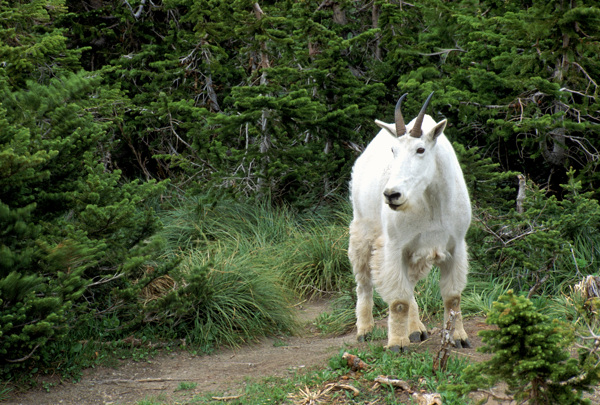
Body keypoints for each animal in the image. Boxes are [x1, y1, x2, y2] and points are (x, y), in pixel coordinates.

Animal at [346, 91, 474, 350]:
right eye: (393, 150)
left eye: (421, 149)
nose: (391, 195)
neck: (432, 202)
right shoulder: (395, 246)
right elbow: (398, 301)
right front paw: (397, 343)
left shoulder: (455, 246)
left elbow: (453, 298)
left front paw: (458, 337)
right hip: (363, 229)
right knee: (364, 281)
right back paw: (364, 329)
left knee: (411, 285)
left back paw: (415, 328)